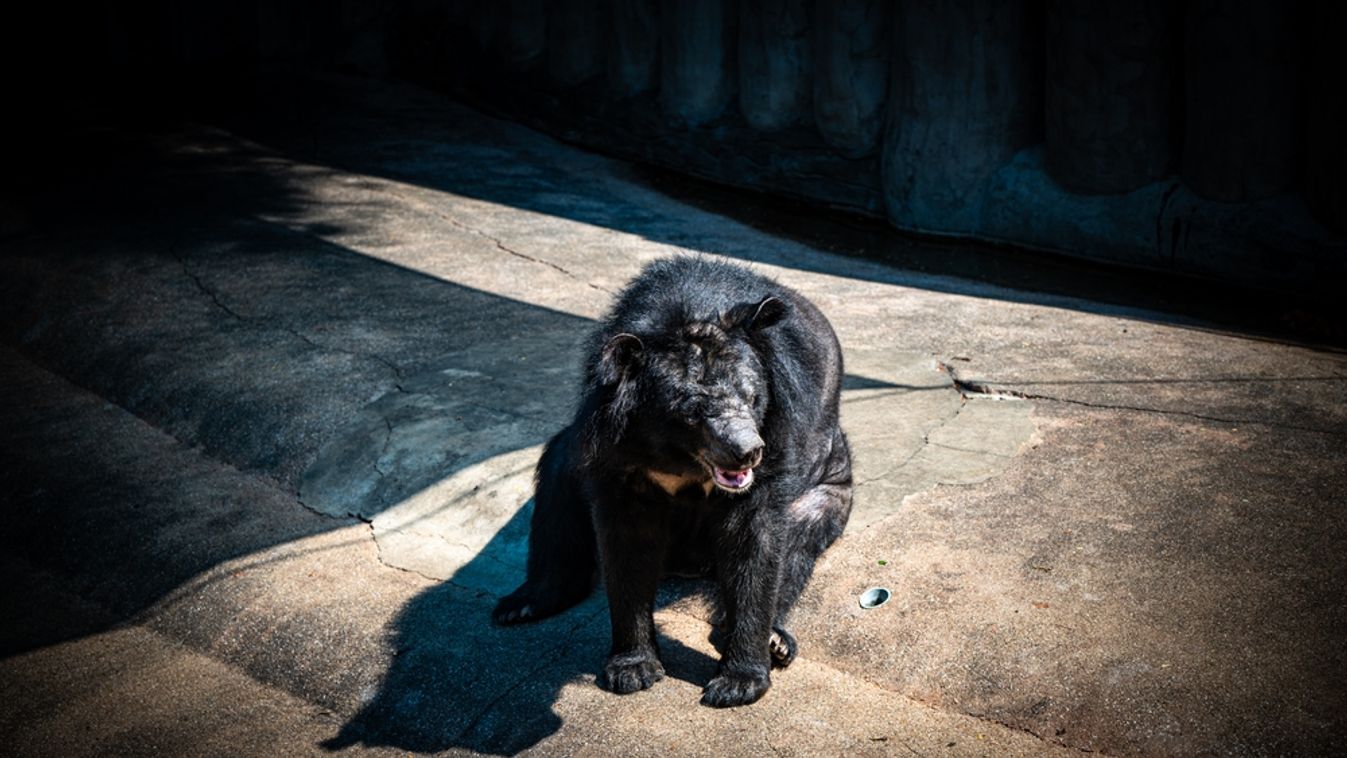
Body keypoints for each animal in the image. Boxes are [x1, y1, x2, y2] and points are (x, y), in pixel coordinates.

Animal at [495, 258, 851, 710]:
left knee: (800, 537)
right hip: (572, 457)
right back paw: (523, 604)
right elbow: (627, 544)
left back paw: (773, 640)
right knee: (557, 490)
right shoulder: (614, 447)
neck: (683, 458)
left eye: (751, 396)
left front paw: (739, 682)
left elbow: (756, 541)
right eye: (693, 411)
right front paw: (632, 669)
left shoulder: (778, 429)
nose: (747, 451)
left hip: (829, 480)